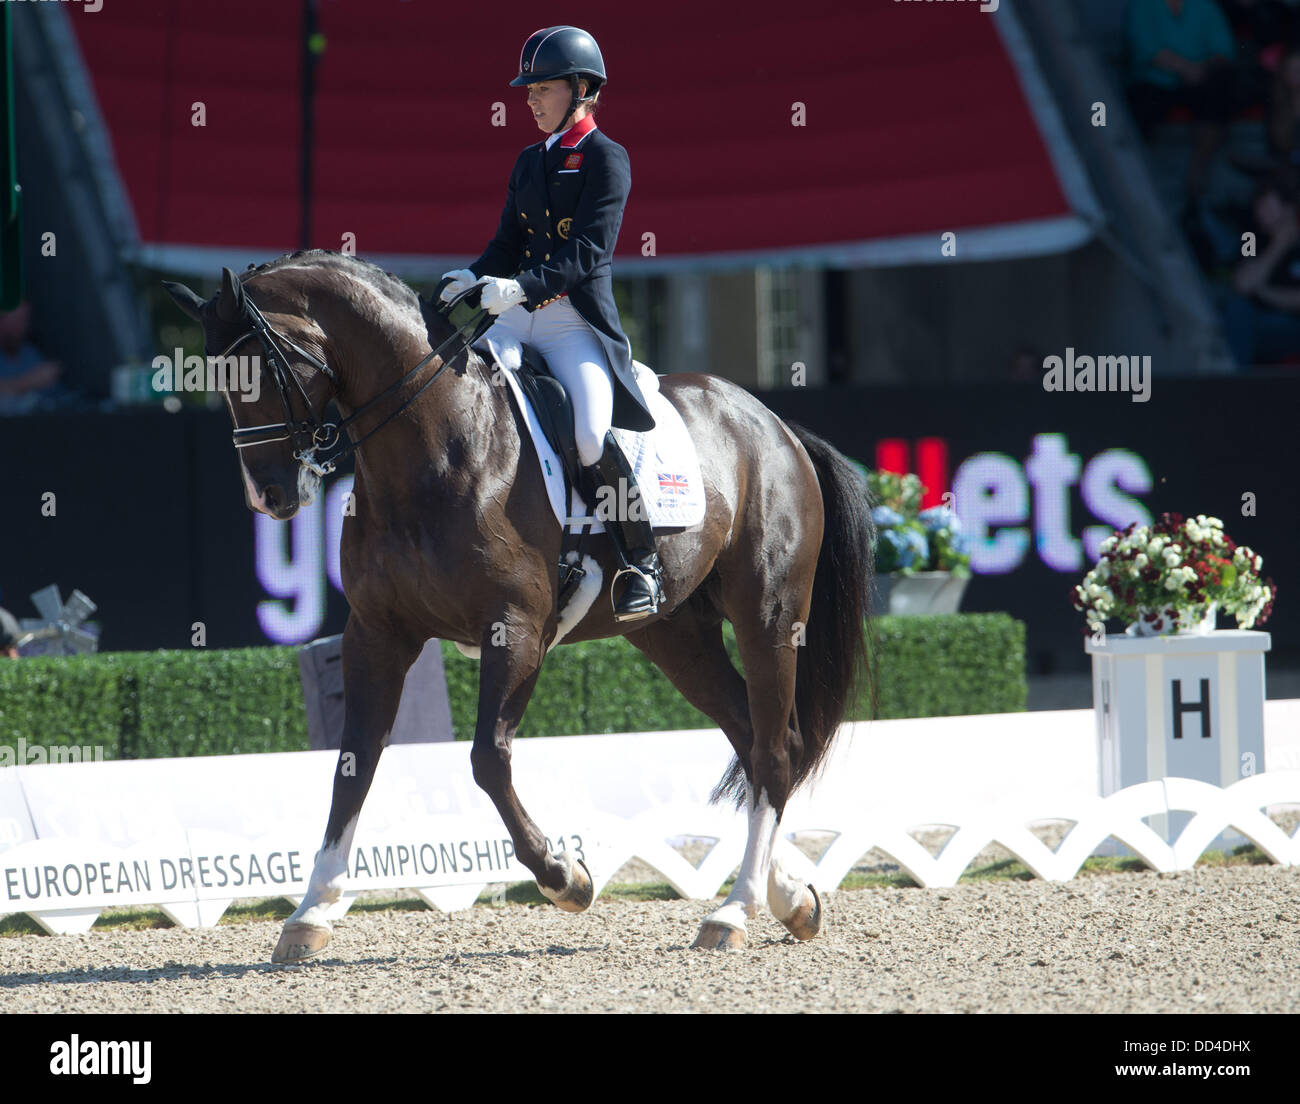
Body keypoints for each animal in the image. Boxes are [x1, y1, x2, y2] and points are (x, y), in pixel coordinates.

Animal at [165, 252, 873, 957]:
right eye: (216, 377)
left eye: (264, 368)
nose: (269, 497)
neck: (435, 448)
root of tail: (774, 424)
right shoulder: (376, 632)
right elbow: (353, 764)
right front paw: (311, 911)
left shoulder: (516, 629)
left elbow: (487, 759)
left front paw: (566, 877)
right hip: (675, 634)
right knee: (751, 735)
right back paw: (790, 898)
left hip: (768, 612)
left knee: (775, 747)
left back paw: (736, 909)